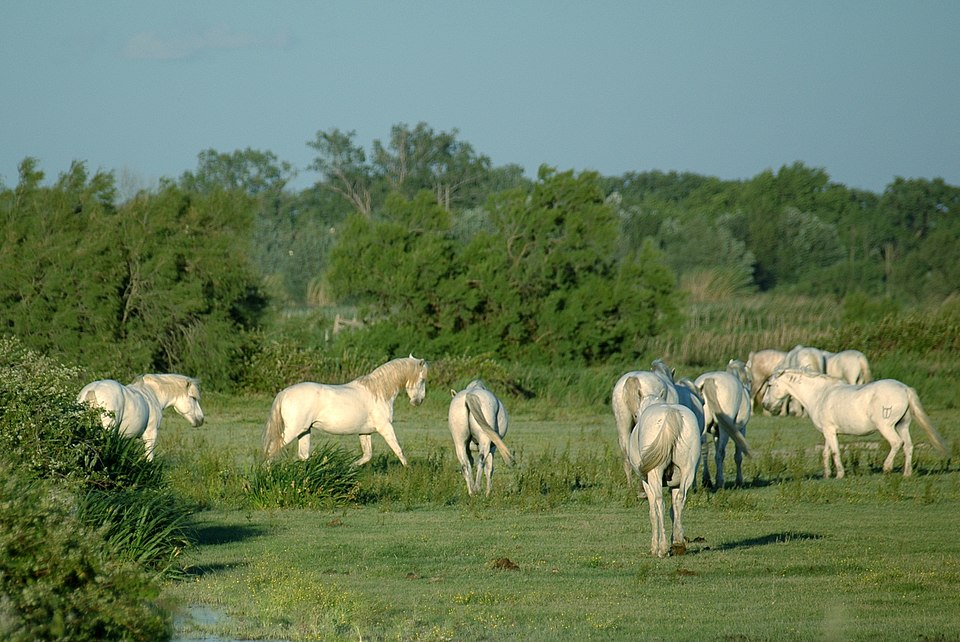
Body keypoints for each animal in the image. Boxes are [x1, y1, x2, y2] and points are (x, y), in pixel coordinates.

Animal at [262, 356, 428, 465]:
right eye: (422, 379)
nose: (419, 401)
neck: (378, 392)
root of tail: (284, 393)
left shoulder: (365, 432)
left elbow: (367, 455)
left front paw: (350, 467)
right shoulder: (385, 427)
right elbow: (399, 451)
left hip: (304, 431)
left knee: (302, 455)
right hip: (293, 430)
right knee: (272, 449)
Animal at [627, 401, 701, 557]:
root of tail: (670, 411)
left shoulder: (647, 483)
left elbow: (653, 512)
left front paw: (654, 547)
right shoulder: (675, 485)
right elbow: (674, 510)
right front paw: (676, 540)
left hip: (655, 474)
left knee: (660, 504)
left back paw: (662, 548)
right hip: (688, 471)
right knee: (680, 500)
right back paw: (678, 544)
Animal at [763, 369, 949, 478]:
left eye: (770, 385)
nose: (765, 405)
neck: (820, 394)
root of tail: (904, 389)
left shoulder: (829, 431)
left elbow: (835, 452)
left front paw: (839, 474)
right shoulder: (828, 432)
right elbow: (826, 452)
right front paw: (827, 474)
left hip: (887, 427)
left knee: (897, 443)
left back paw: (887, 467)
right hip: (902, 425)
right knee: (908, 446)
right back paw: (907, 473)